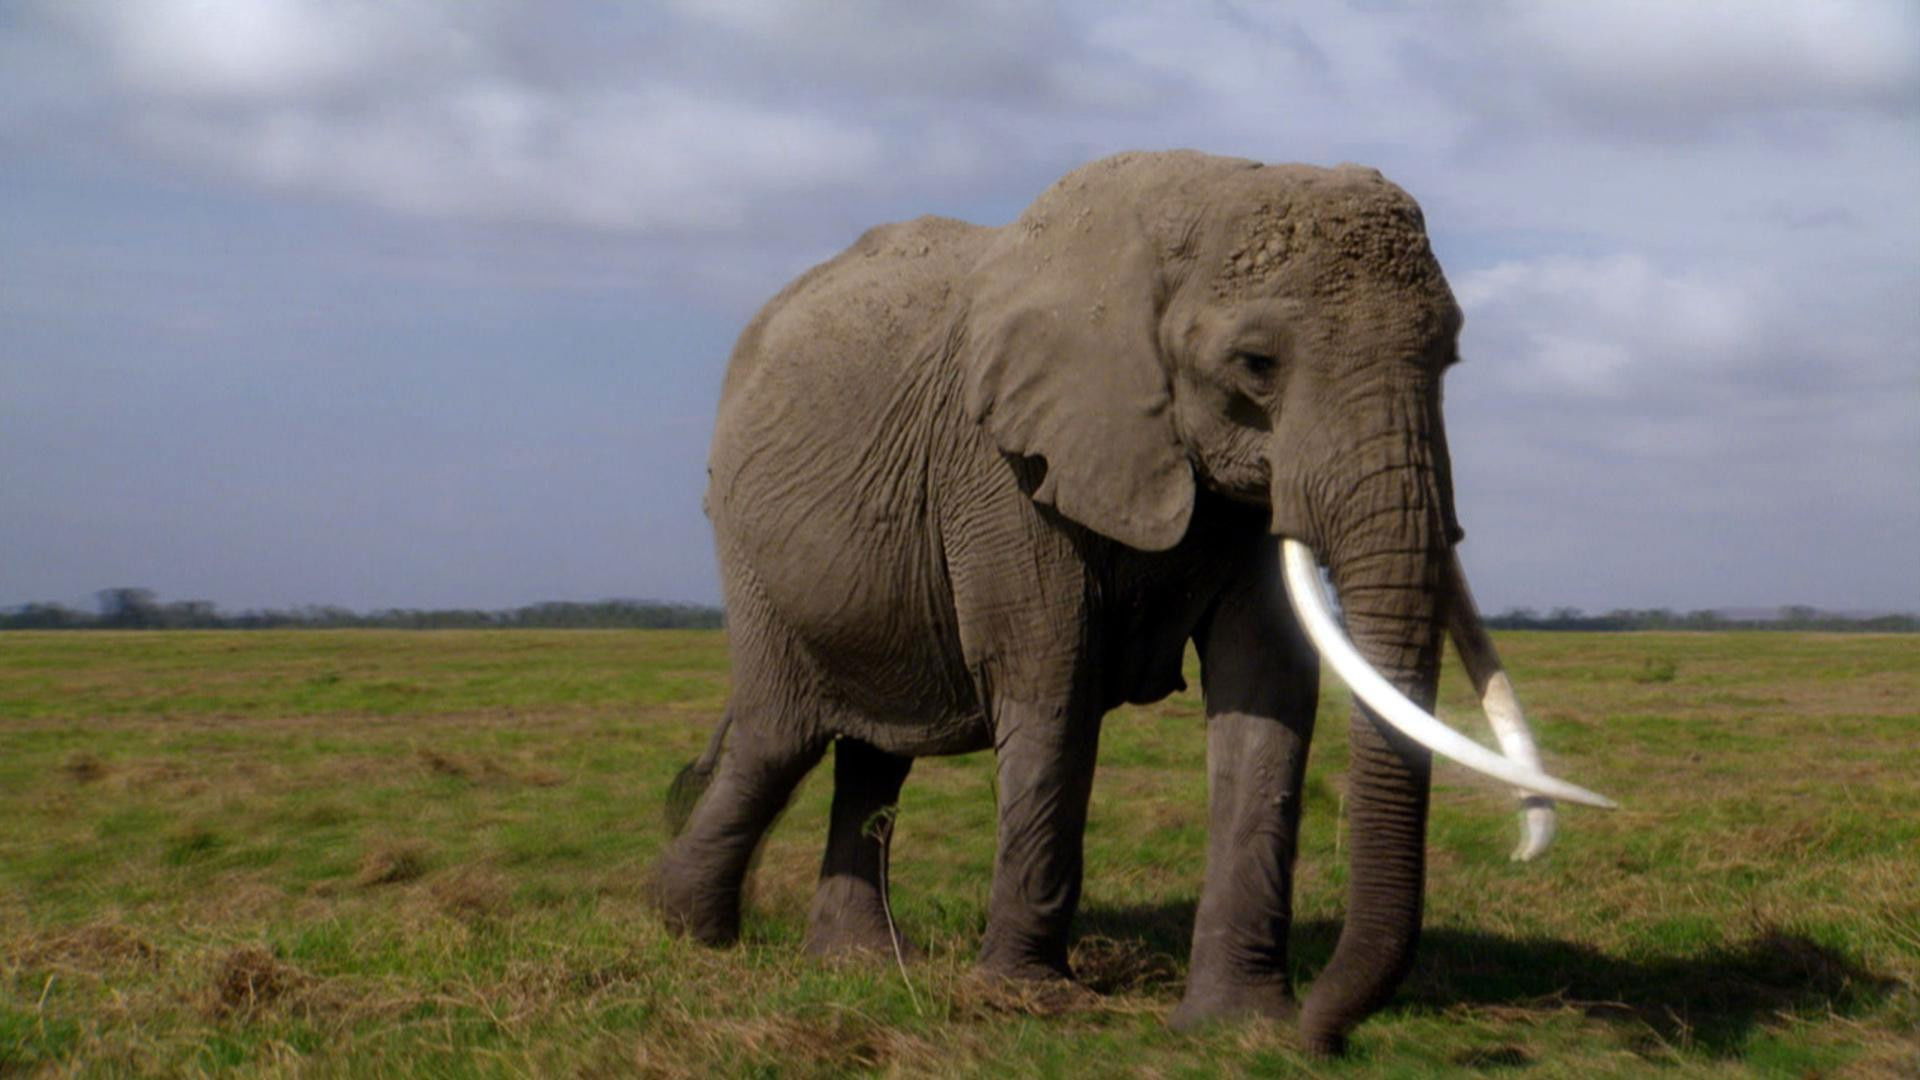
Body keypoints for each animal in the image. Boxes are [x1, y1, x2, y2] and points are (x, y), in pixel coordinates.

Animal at [652, 150, 1613, 1054]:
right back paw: (690, 933)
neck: (1200, 199)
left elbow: (1267, 692)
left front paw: (1238, 1026)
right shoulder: (1004, 468)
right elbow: (1052, 680)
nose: (1326, 1036)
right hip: (749, 550)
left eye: (1448, 359)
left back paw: (860, 964)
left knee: (875, 754)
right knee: (779, 740)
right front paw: (1028, 1002)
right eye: (1257, 365)